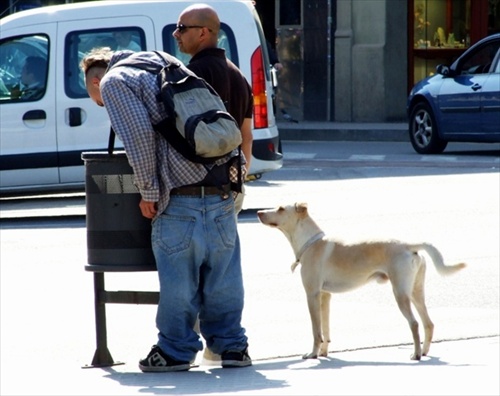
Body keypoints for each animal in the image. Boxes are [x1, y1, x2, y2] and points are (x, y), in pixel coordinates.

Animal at [256, 203, 466, 360]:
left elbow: (316, 331)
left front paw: (313, 354)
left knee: (414, 323)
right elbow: (326, 329)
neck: (311, 243)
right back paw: (424, 351)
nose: (258, 212)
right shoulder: (325, 296)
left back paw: (416, 355)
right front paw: (324, 352)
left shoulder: (312, 295)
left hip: (400, 294)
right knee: (428, 323)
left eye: (281, 208)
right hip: (415, 292)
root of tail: (409, 245)